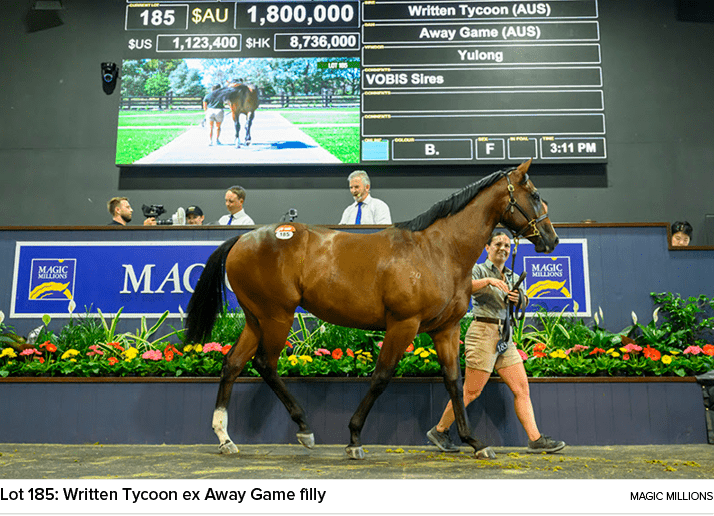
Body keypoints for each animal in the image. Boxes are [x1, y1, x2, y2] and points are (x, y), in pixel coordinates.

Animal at [185, 160, 556, 460]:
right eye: (536, 194)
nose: (551, 239)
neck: (438, 251)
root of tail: (242, 239)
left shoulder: (446, 329)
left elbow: (454, 381)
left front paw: (474, 442)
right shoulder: (403, 324)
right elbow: (381, 377)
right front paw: (354, 439)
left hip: (256, 319)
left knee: (232, 363)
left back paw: (225, 437)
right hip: (278, 316)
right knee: (265, 363)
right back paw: (304, 428)